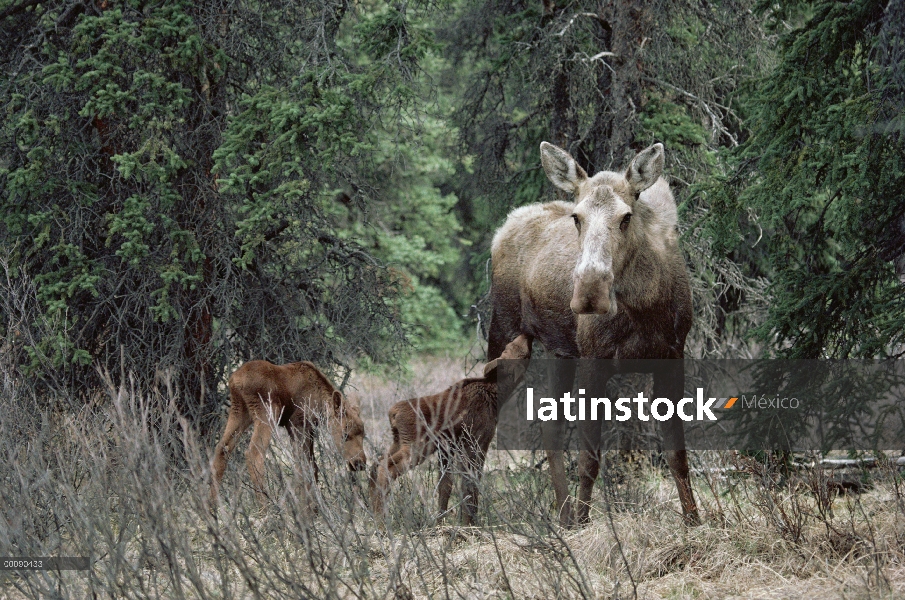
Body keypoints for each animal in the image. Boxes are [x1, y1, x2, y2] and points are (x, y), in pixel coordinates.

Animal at [210, 358, 366, 508]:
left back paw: (212, 506)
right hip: (267, 411)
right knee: (254, 453)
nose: (359, 463)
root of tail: (235, 380)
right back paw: (266, 508)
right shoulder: (297, 424)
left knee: (222, 448)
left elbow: (312, 467)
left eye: (363, 435)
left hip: (240, 411)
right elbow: (304, 467)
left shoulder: (303, 429)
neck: (320, 404)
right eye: (345, 434)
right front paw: (306, 508)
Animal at [370, 336, 532, 528]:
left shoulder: (447, 449)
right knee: (385, 468)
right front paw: (469, 524)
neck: (497, 396)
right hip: (417, 446)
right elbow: (470, 484)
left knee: (375, 464)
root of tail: (392, 413)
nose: (527, 335)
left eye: (509, 345)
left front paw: (441, 522)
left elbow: (445, 486)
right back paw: (380, 522)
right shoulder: (477, 442)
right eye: (518, 351)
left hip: (398, 441)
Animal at [488, 141, 700, 524]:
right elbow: (589, 458)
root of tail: (504, 226)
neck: (645, 307)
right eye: (577, 217)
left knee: (551, 427)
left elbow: (677, 455)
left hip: (558, 351)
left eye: (626, 217)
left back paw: (562, 514)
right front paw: (585, 522)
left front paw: (694, 521)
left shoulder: (673, 356)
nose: (589, 290)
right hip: (503, 329)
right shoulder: (594, 359)